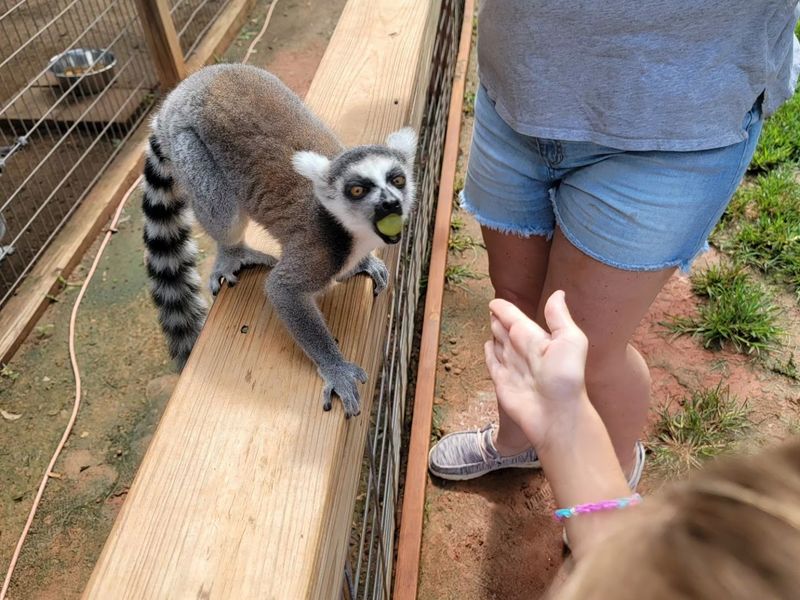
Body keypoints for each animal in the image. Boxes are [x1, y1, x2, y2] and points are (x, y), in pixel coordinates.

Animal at [142, 63, 417, 418]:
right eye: (357, 190)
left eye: (397, 180)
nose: (390, 204)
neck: (353, 232)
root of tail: (178, 94)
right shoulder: (318, 249)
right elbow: (282, 289)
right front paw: (336, 369)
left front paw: (365, 262)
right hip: (187, 144)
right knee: (222, 212)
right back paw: (233, 252)